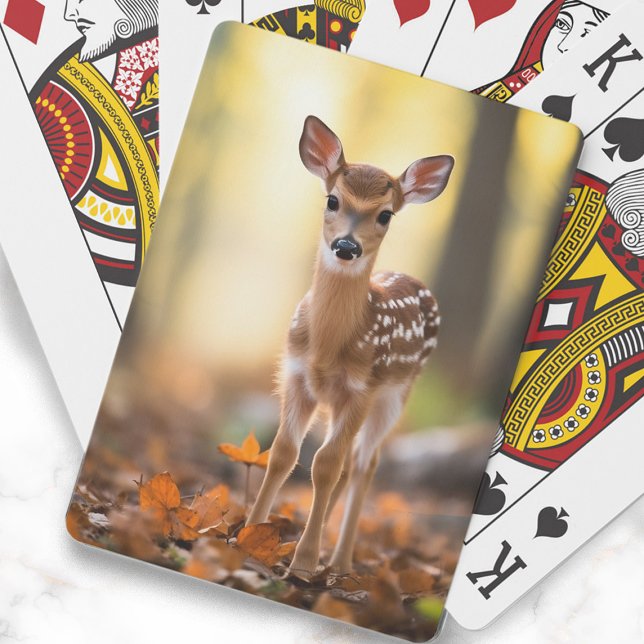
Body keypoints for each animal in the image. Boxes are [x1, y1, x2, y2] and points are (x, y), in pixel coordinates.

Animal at [246, 115, 454, 578]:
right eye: (332, 200)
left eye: (385, 214)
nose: (346, 246)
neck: (327, 347)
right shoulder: (296, 376)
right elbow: (283, 452)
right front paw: (245, 535)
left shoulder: (360, 390)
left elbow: (325, 465)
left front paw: (303, 565)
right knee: (348, 462)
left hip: (395, 395)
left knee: (362, 463)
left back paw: (339, 562)